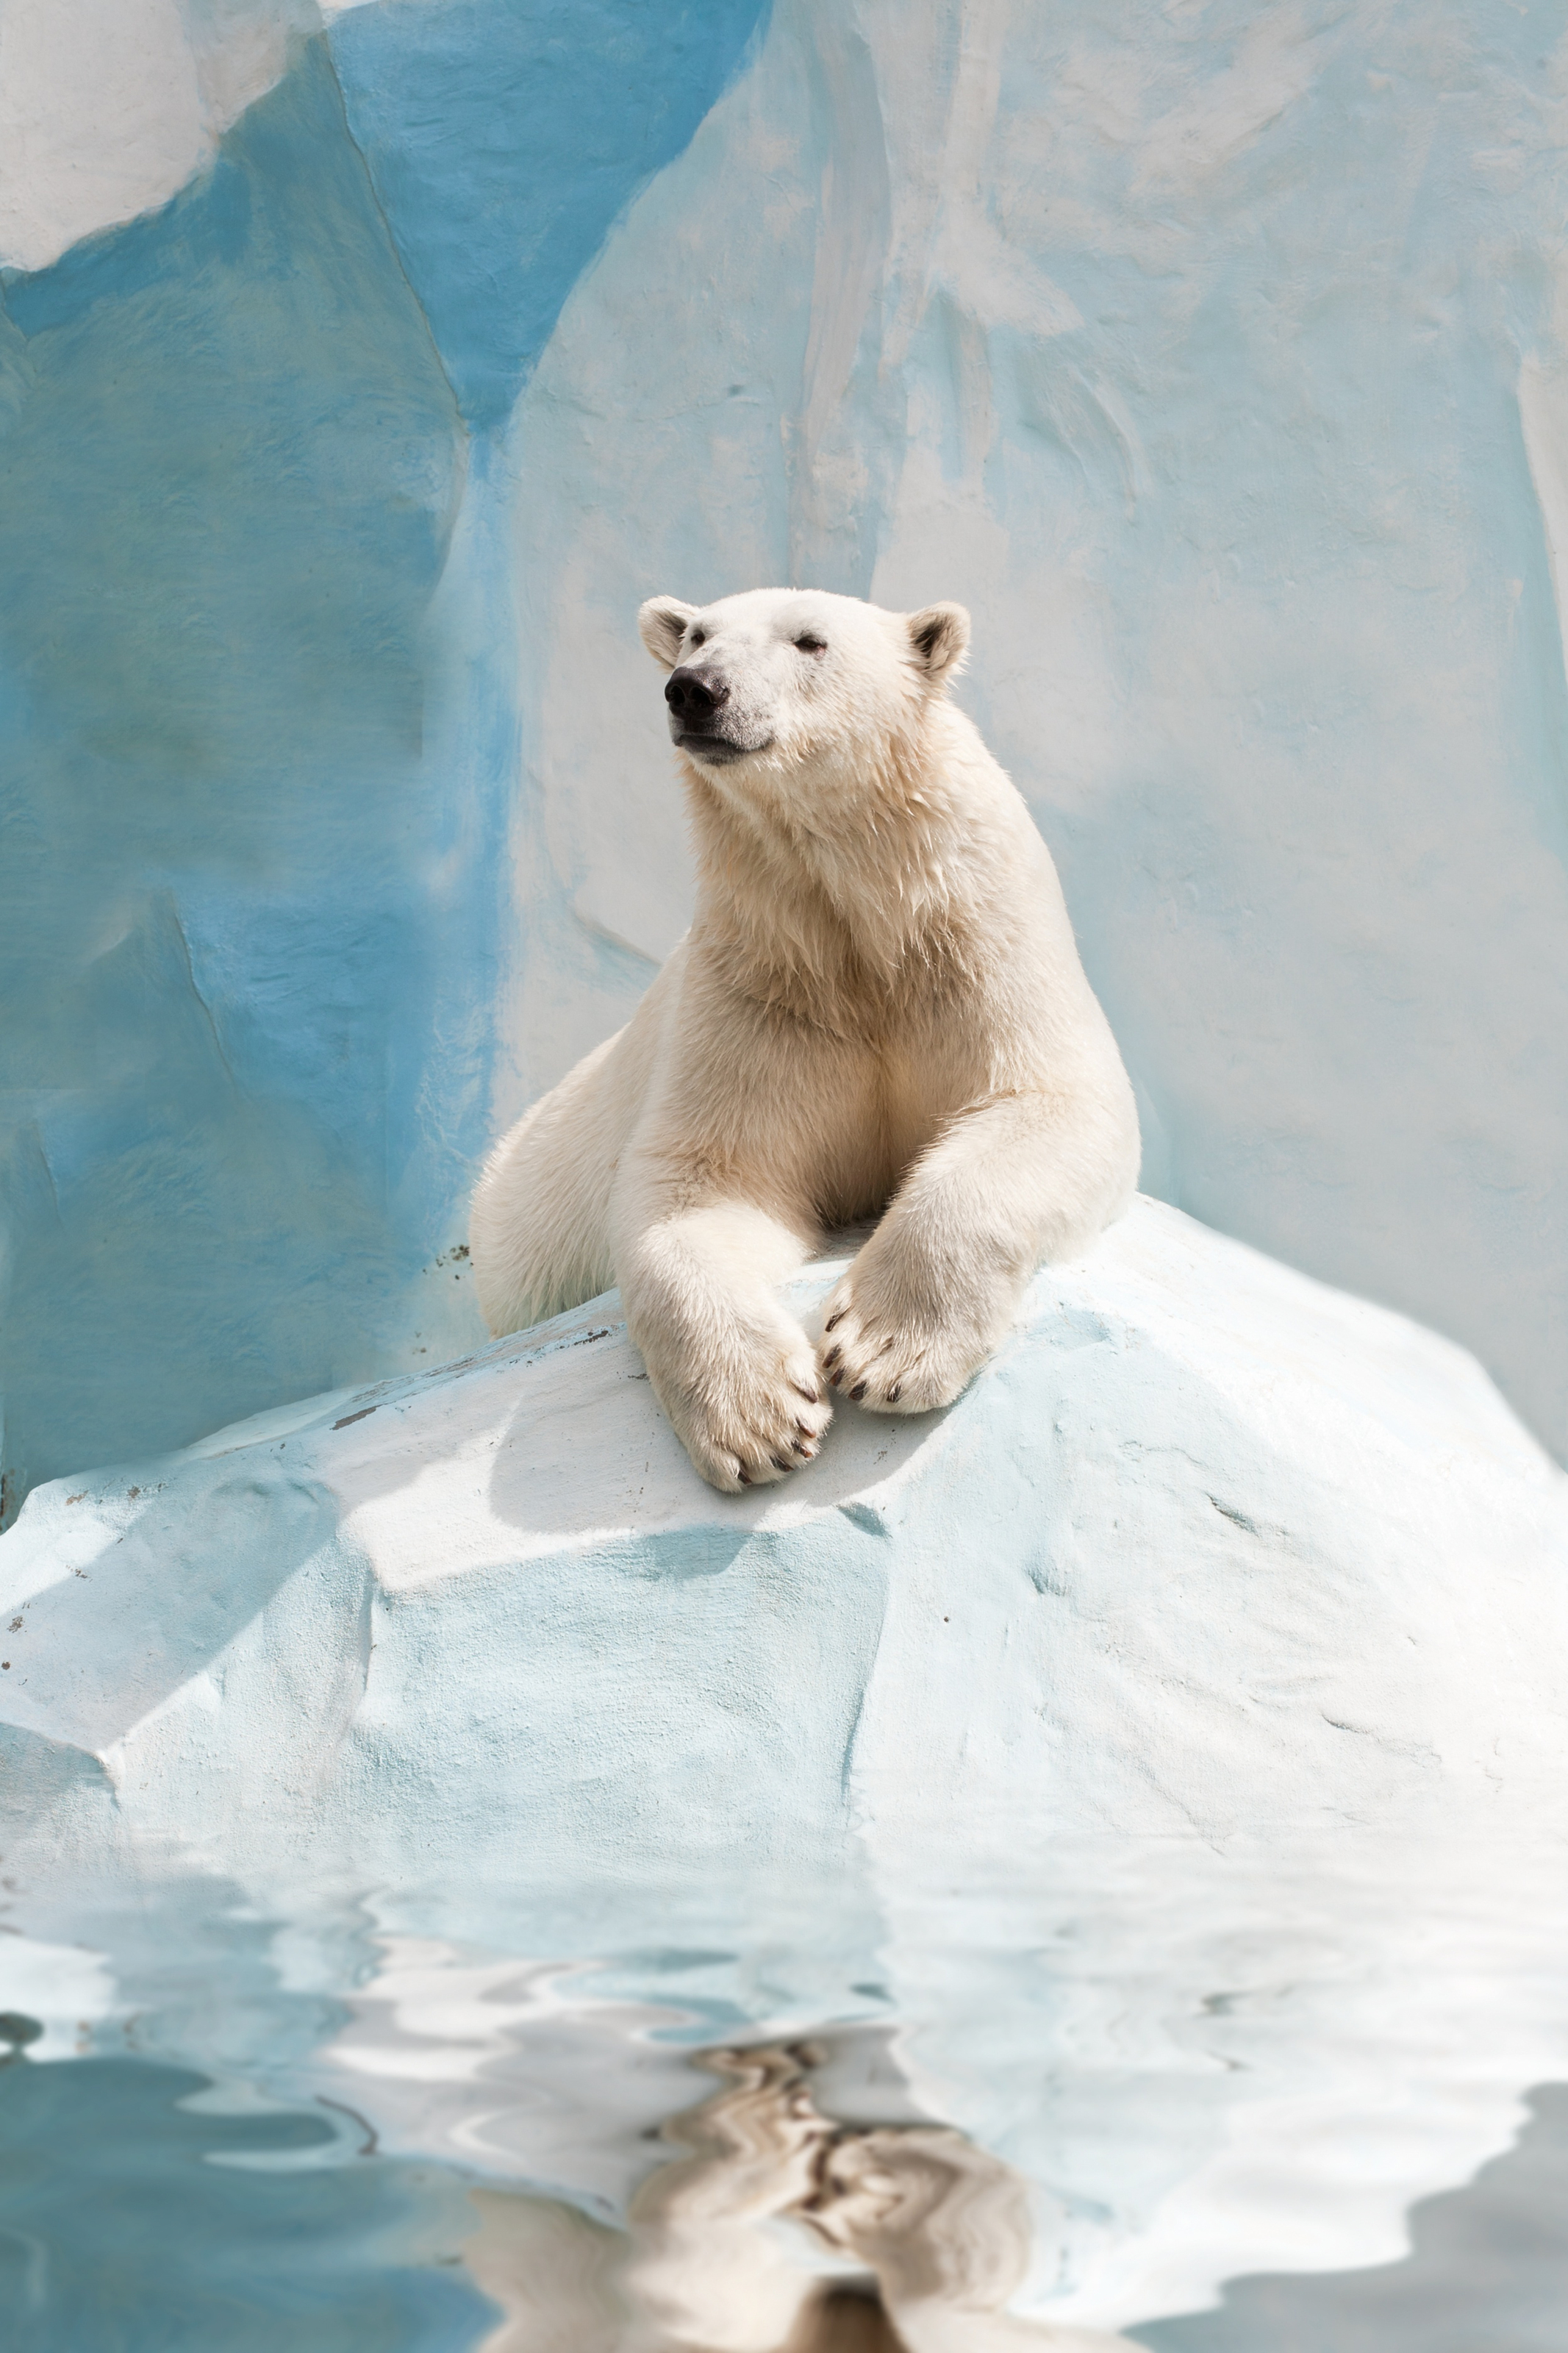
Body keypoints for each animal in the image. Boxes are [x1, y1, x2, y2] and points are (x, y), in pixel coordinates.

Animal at [469, 588, 1139, 1493]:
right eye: (698, 634)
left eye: (810, 641)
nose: (695, 689)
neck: (860, 921)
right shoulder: (764, 985)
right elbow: (708, 1181)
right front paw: (759, 1419)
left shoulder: (978, 946)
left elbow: (1045, 1103)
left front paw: (886, 1351)